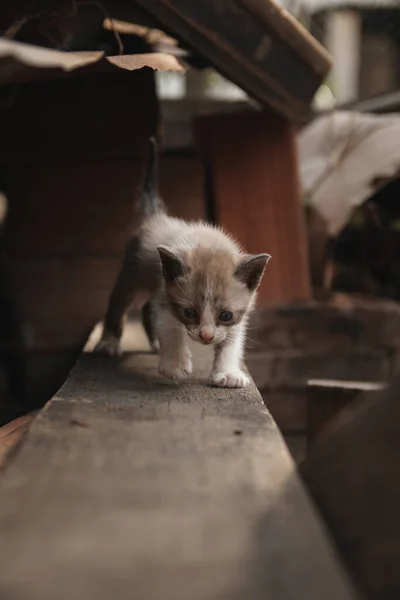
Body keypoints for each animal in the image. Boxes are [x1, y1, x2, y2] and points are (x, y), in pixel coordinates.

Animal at [94, 139, 270, 390]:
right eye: (189, 312)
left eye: (226, 315)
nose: (206, 336)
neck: (208, 241)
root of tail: (156, 216)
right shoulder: (167, 297)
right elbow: (170, 327)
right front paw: (175, 365)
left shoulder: (238, 316)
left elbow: (232, 341)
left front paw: (227, 373)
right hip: (131, 273)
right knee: (118, 305)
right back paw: (109, 344)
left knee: (147, 307)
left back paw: (155, 343)